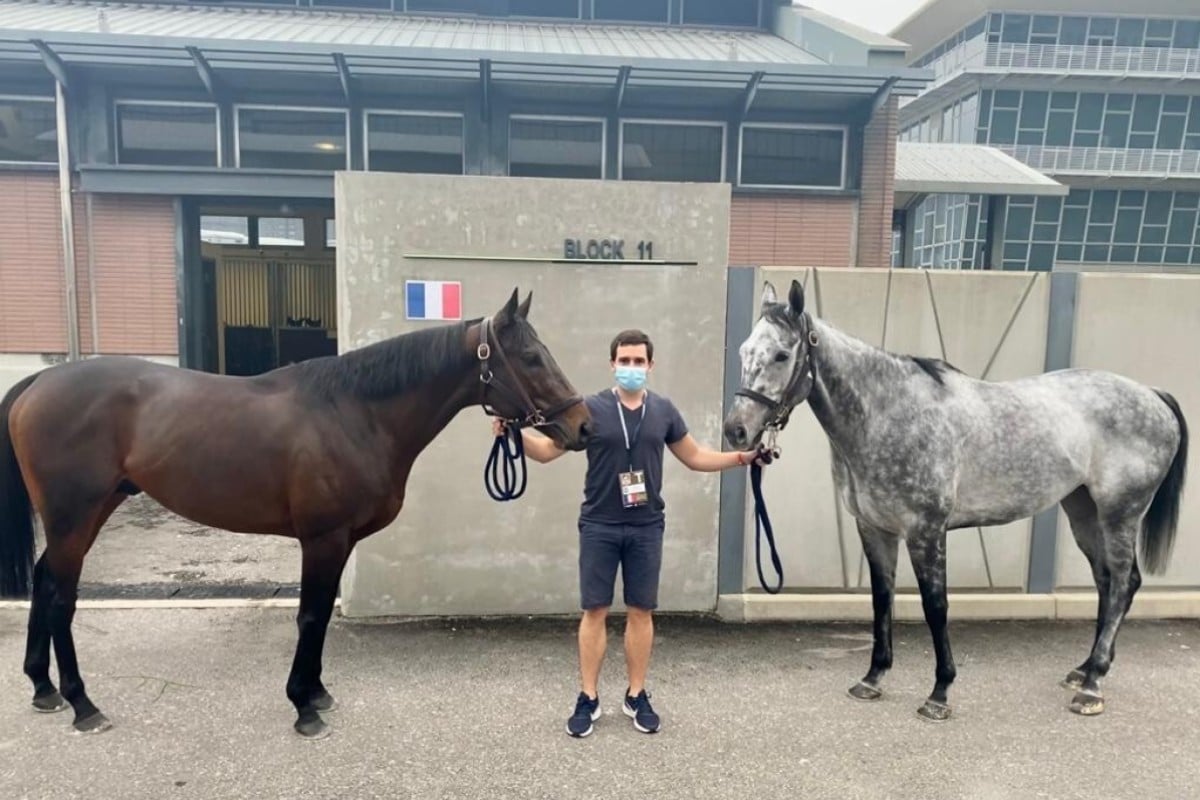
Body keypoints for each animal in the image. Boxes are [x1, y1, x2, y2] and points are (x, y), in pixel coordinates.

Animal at [0, 286, 590, 738]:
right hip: (74, 516)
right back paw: (83, 705)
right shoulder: (322, 538)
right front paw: (304, 708)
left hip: (91, 512)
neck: (354, 412)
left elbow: (322, 614)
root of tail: (39, 382)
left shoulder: (342, 539)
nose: (582, 425)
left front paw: (318, 692)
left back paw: (43, 688)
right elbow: (310, 615)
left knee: (45, 582)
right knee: (62, 598)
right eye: (532, 357)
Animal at [724, 278, 1185, 724]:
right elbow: (881, 600)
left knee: (1125, 582)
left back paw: (1092, 688)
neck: (888, 415)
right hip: (1083, 512)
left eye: (782, 354)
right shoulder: (874, 528)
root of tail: (1153, 395)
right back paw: (1084, 670)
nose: (736, 431)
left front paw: (940, 693)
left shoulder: (926, 530)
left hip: (1120, 514)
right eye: (746, 350)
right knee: (1106, 583)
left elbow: (936, 606)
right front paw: (872, 678)